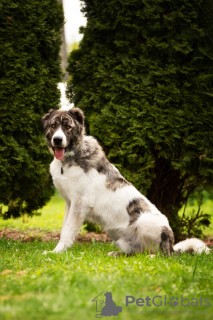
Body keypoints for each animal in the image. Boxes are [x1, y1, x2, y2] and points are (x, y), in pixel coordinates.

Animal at [41, 109, 210, 256]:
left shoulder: (80, 203)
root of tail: (172, 246)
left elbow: (68, 231)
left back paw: (152, 257)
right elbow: (65, 228)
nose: (57, 139)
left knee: (161, 255)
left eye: (68, 127)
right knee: (138, 253)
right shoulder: (70, 203)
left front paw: (56, 252)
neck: (69, 159)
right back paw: (117, 254)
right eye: (53, 125)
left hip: (145, 221)